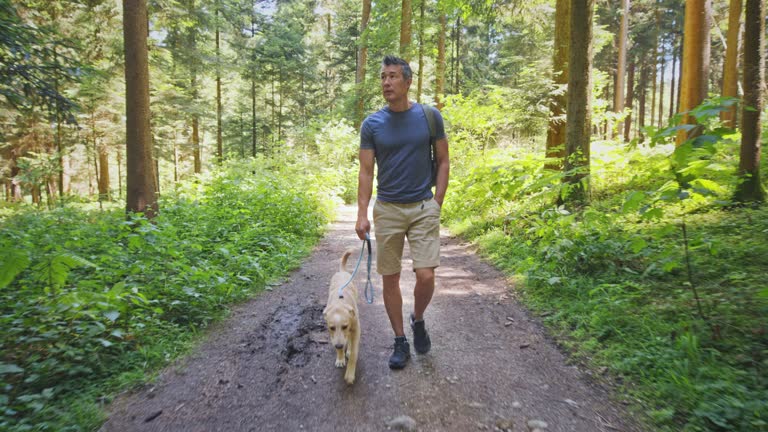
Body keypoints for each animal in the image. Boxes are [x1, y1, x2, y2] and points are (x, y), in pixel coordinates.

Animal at [322, 248, 362, 386]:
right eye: (332, 328)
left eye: (344, 326)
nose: (339, 346)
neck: (339, 303)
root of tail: (342, 271)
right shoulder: (333, 335)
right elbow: (337, 342)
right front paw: (340, 358)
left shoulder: (355, 328)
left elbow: (354, 352)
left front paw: (350, 374)